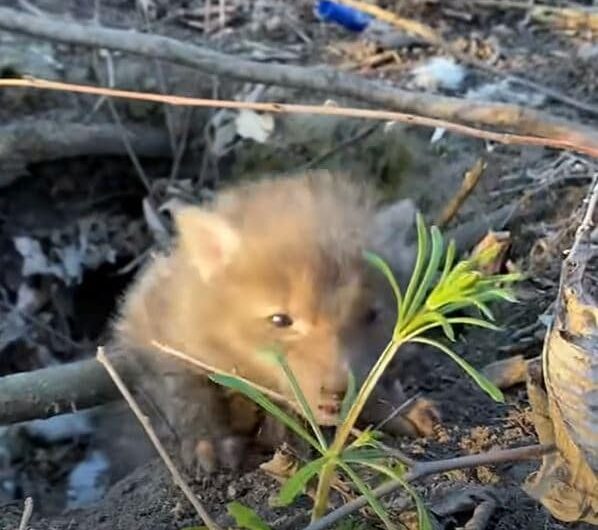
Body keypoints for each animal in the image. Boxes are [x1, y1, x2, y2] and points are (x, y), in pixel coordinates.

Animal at [115, 171, 438, 472]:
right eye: (280, 320)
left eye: (371, 315)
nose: (337, 392)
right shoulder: (156, 327)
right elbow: (186, 388)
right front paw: (208, 443)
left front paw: (400, 409)